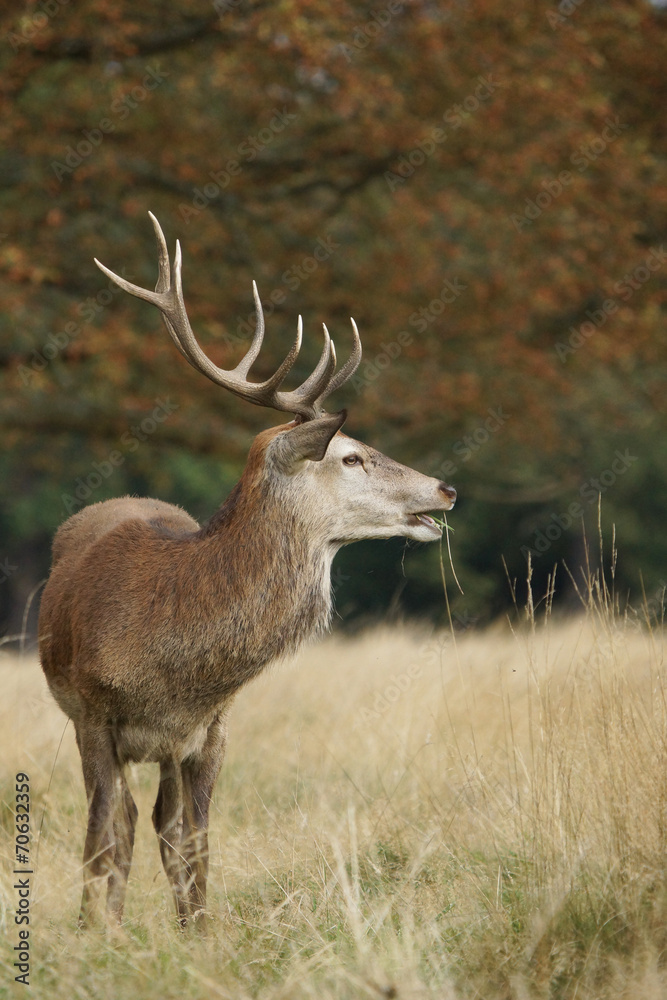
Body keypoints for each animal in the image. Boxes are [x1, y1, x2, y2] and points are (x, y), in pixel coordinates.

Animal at [38, 213, 456, 930]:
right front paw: (96, 933)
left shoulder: (211, 728)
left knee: (160, 821)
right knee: (122, 823)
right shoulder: (93, 716)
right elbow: (101, 837)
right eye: (349, 456)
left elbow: (194, 842)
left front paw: (198, 936)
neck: (168, 667)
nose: (445, 489)